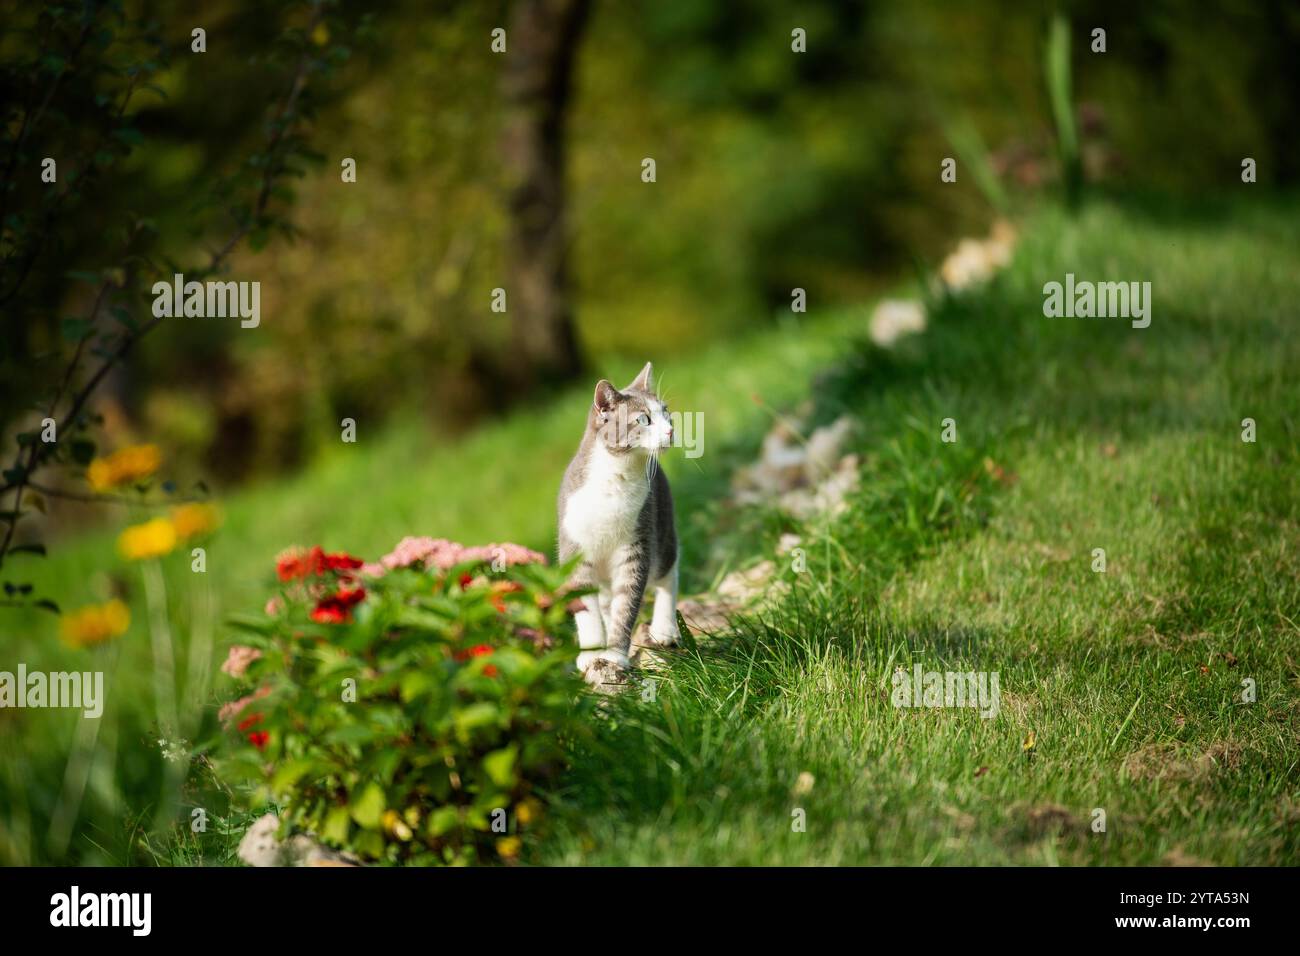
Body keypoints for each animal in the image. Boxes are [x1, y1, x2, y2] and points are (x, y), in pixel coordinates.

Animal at [559, 361, 681, 686]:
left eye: (666, 412)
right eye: (643, 419)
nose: (671, 430)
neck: (616, 478)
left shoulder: (636, 545)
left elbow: (626, 603)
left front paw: (614, 656)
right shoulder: (575, 547)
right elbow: (586, 609)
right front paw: (591, 654)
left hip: (662, 529)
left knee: (668, 571)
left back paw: (665, 628)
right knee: (604, 602)